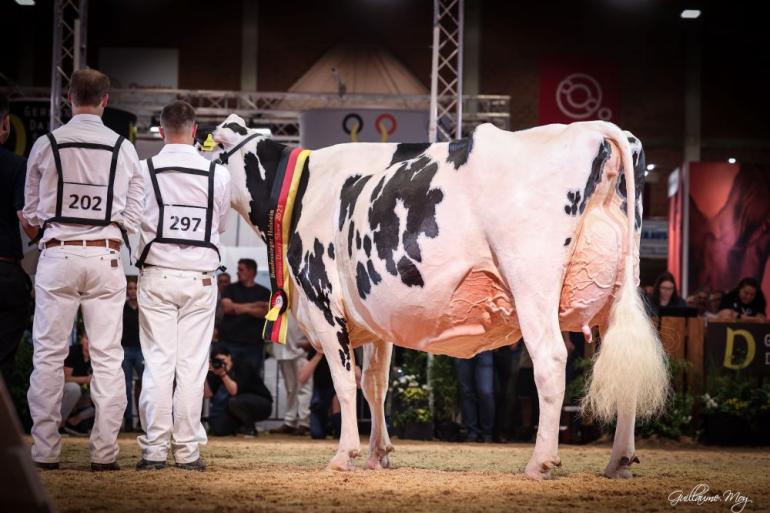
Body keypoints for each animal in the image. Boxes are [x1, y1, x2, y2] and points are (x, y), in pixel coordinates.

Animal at [210, 116, 664, 480]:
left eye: (210, 150)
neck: (304, 191)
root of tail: (593, 128)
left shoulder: (323, 302)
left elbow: (343, 383)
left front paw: (344, 456)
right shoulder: (376, 319)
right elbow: (374, 384)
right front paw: (379, 454)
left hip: (531, 281)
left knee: (550, 361)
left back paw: (540, 463)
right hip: (619, 290)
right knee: (624, 367)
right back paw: (618, 462)